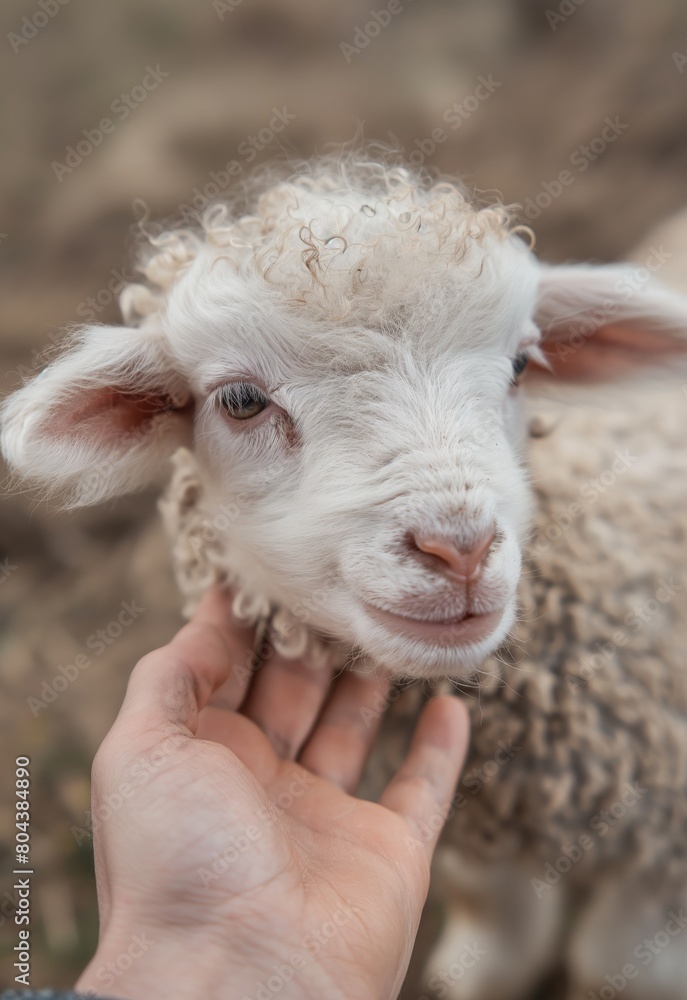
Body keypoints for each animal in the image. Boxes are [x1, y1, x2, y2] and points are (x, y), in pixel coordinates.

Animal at [2, 156, 687, 1000]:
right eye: (240, 401)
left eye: (522, 364)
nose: (458, 548)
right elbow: (498, 927)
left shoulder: (660, 851)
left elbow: (613, 968)